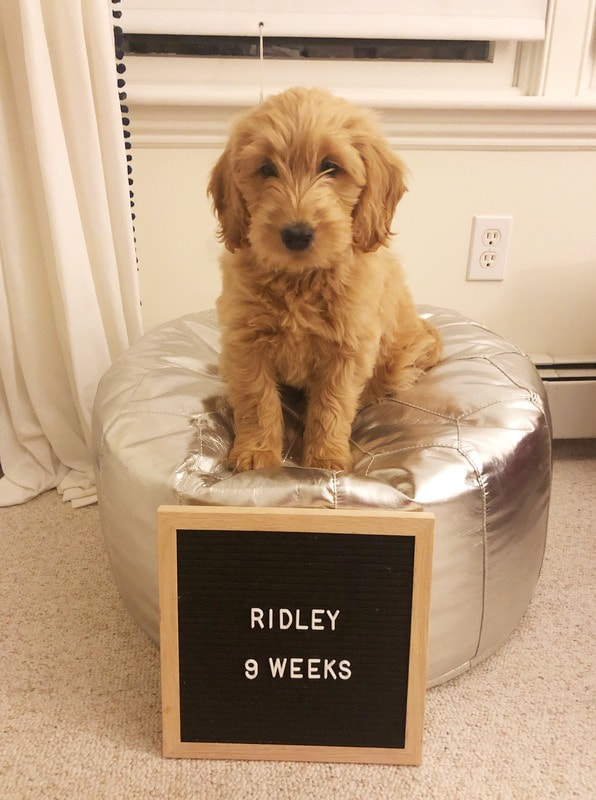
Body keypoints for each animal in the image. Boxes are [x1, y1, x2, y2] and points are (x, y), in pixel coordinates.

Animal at [207, 86, 440, 476]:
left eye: (331, 167)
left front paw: (325, 460)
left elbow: (333, 404)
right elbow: (256, 399)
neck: (300, 280)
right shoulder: (245, 341)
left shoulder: (349, 348)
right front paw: (257, 454)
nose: (297, 234)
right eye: (267, 169)